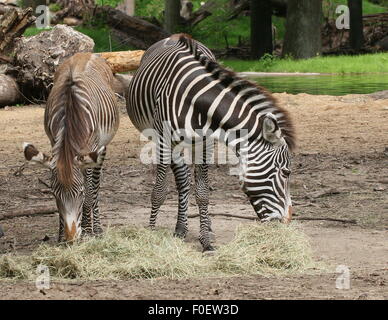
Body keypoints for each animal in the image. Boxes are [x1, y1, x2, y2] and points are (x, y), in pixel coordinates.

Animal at [23, 53, 119, 242]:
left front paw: (88, 231)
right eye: (54, 194)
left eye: (80, 193)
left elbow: (89, 192)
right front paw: (60, 236)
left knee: (96, 187)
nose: (71, 238)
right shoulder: (53, 142)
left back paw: (97, 228)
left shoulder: (91, 148)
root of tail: (85, 53)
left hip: (101, 149)